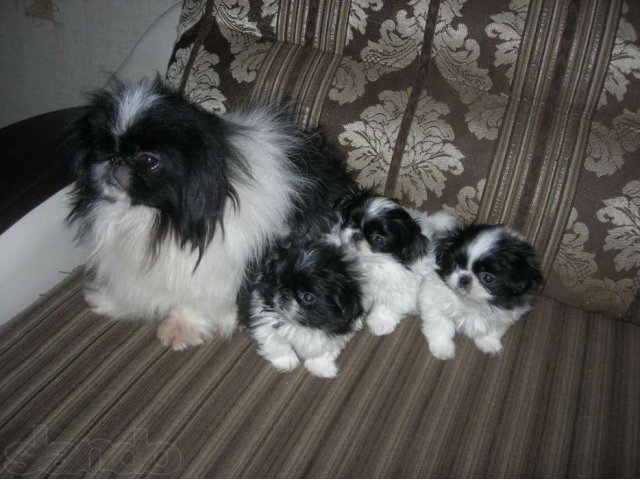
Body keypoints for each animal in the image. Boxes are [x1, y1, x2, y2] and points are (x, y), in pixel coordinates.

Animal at [246, 236, 364, 378]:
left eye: (308, 297)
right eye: (278, 282)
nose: (285, 294)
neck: (302, 325)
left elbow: (325, 351)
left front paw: (320, 367)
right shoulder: (264, 321)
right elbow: (277, 344)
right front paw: (286, 361)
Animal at [338, 189, 432, 336]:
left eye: (378, 240)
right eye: (351, 221)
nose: (356, 235)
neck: (372, 262)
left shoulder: (397, 288)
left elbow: (386, 304)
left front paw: (380, 322)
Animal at [418, 225, 544, 360]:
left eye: (487, 278)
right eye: (454, 264)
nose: (464, 278)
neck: (472, 303)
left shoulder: (506, 315)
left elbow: (495, 331)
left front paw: (488, 342)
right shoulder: (433, 300)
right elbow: (441, 325)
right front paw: (442, 347)